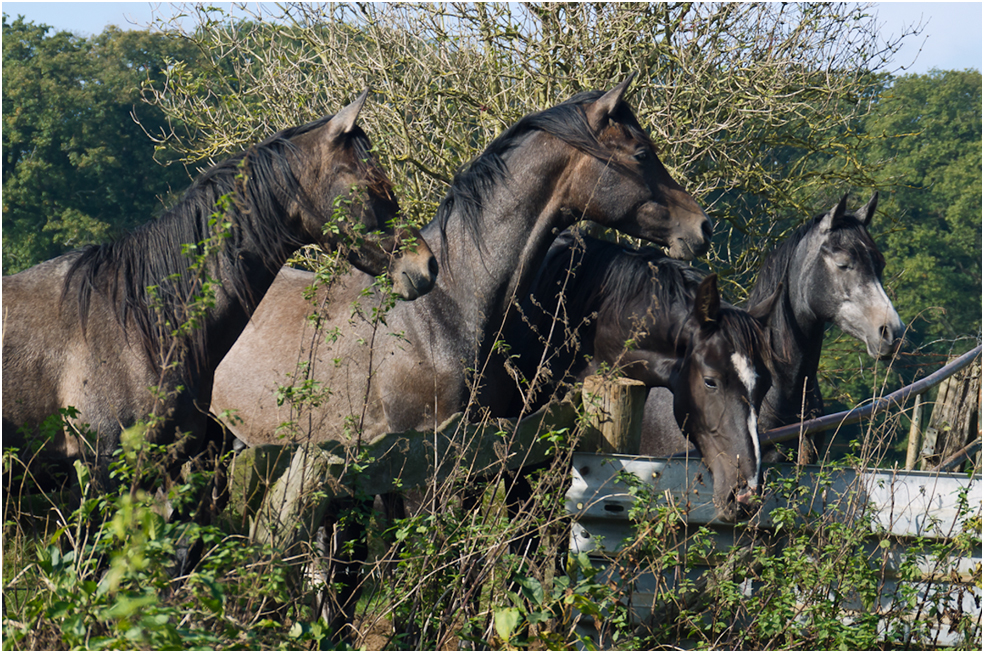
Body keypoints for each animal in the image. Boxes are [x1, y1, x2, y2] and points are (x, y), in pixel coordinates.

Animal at [211, 77, 712, 640]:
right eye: (642, 153)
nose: (702, 226)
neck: (441, 314)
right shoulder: (416, 477)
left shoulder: (476, 465)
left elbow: (465, 580)